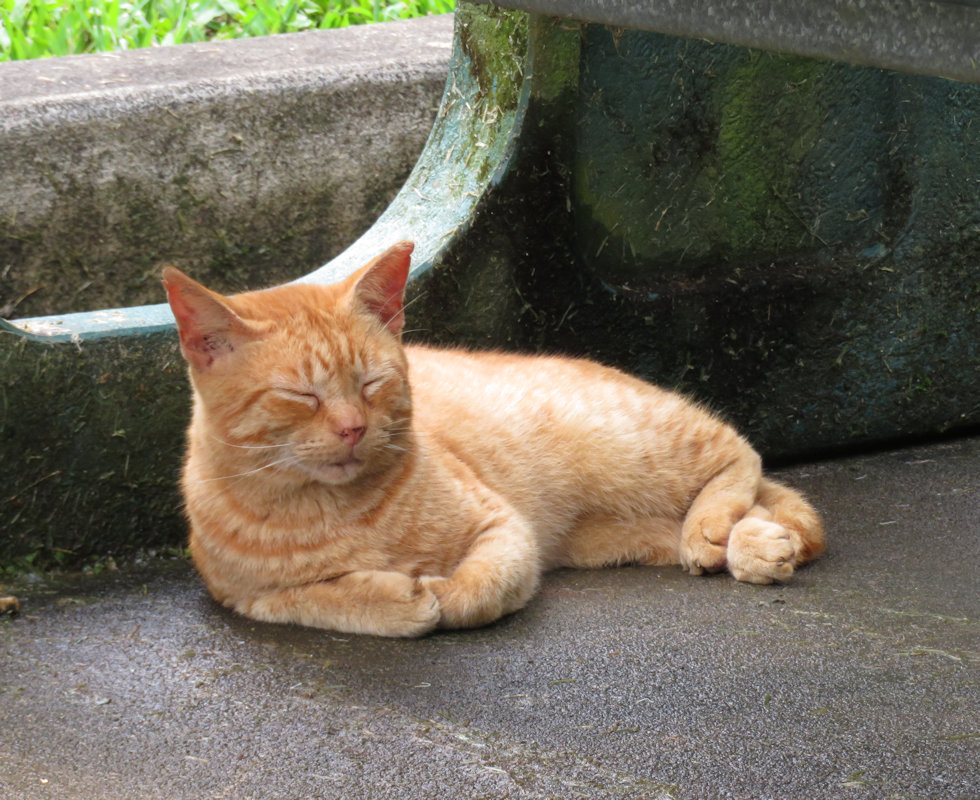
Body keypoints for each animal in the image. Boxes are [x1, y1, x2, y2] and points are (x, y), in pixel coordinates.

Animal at [163, 241, 824, 637]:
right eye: (303, 396)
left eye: (372, 382)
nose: (353, 427)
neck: (324, 510)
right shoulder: (244, 597)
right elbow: (316, 601)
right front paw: (389, 597)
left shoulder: (505, 530)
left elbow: (480, 587)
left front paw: (436, 594)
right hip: (613, 531)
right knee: (749, 513)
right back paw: (755, 545)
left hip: (634, 447)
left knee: (738, 454)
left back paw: (718, 527)